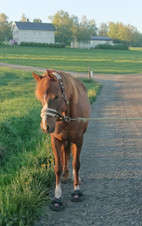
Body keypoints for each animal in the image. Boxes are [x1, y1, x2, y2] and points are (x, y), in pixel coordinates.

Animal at [32, 69, 91, 210]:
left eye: (56, 96)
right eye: (40, 98)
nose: (45, 126)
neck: (67, 116)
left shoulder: (79, 140)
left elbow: (76, 164)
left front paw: (76, 190)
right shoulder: (55, 140)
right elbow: (58, 167)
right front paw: (57, 197)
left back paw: (76, 178)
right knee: (66, 153)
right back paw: (65, 175)